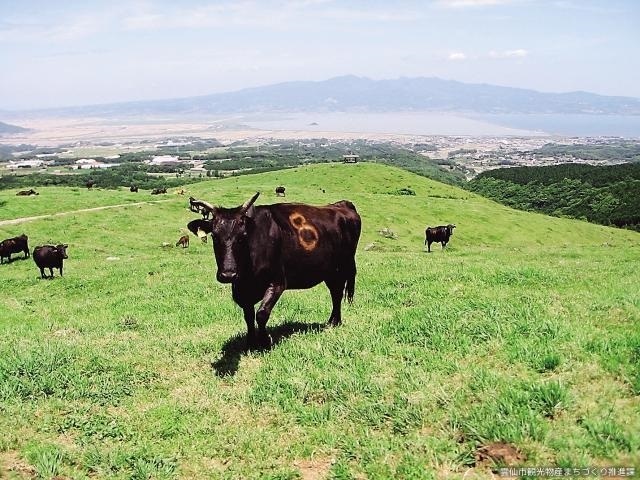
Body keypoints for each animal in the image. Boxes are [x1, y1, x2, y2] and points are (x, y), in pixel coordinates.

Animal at [188, 191, 362, 348]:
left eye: (243, 236)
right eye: (214, 236)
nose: (228, 274)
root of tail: (341, 205)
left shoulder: (277, 282)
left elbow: (261, 313)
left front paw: (265, 342)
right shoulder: (241, 290)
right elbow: (248, 316)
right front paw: (251, 343)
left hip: (343, 266)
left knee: (337, 293)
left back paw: (335, 322)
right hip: (329, 270)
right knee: (335, 292)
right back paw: (332, 321)